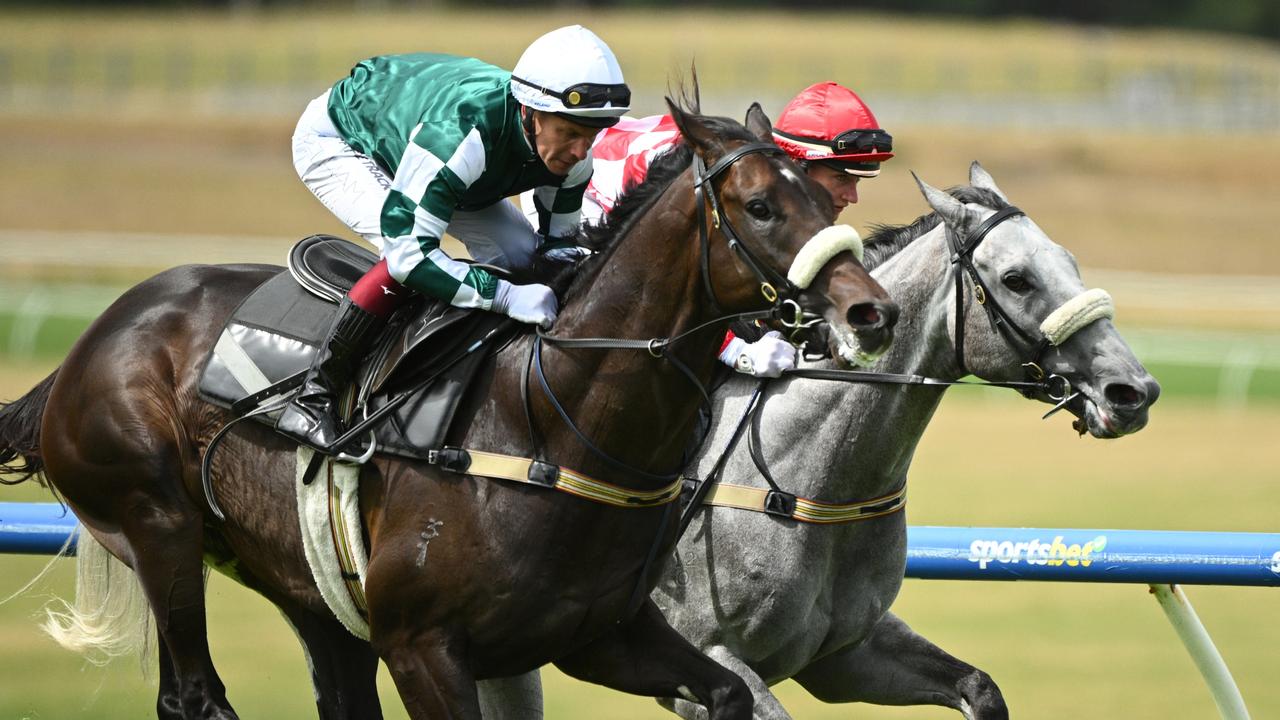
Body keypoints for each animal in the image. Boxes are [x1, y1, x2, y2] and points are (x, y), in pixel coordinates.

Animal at [0, 101, 896, 717]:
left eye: (827, 205)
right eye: (762, 207)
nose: (870, 312)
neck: (550, 423)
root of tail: (95, 338)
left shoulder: (602, 634)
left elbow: (729, 692)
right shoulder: (424, 648)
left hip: (310, 594)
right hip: (158, 527)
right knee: (195, 694)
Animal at [481, 162, 1162, 717]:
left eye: (1069, 261)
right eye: (1018, 279)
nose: (1134, 391)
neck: (807, 474)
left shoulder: (846, 654)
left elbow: (980, 688)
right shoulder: (704, 655)